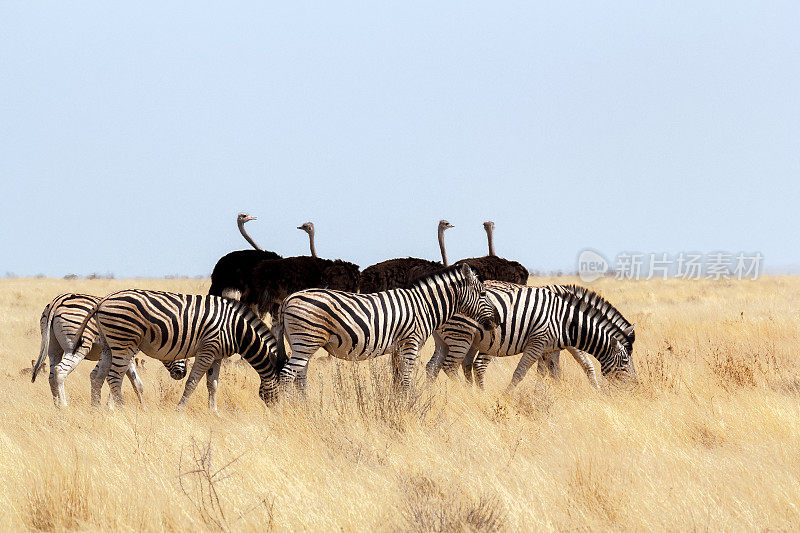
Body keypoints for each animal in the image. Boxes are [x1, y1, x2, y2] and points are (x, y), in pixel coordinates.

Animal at [31, 296, 188, 408]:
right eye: (181, 352)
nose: (182, 374)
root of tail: (57, 301)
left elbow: (134, 383)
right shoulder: (127, 352)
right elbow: (127, 380)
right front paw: (112, 406)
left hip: (53, 348)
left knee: (52, 376)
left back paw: (57, 407)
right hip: (78, 345)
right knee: (60, 371)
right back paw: (64, 406)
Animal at [72, 288, 282, 410]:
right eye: (282, 387)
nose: (280, 412)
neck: (236, 329)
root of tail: (103, 300)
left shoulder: (217, 355)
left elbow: (212, 385)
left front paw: (214, 412)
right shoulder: (208, 349)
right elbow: (192, 382)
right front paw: (180, 409)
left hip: (109, 344)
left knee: (98, 377)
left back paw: (96, 410)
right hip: (123, 341)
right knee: (114, 378)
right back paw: (123, 410)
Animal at [278, 262, 496, 390]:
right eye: (483, 293)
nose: (495, 322)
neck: (424, 306)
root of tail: (289, 297)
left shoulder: (397, 349)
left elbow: (397, 380)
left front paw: (396, 405)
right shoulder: (410, 344)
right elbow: (406, 380)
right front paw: (406, 408)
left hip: (303, 344)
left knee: (300, 377)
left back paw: (304, 408)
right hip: (306, 341)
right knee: (287, 375)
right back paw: (287, 411)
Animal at [422, 282, 636, 390]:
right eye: (625, 361)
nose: (635, 388)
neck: (567, 321)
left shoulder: (552, 347)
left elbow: (553, 372)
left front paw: (556, 393)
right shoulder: (539, 342)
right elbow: (520, 373)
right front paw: (507, 397)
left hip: (446, 339)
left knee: (433, 366)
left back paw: (429, 394)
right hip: (462, 336)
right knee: (452, 367)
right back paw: (468, 395)